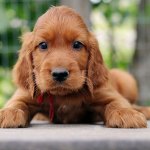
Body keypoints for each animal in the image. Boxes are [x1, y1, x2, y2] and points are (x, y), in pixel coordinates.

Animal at [0, 5, 149, 127]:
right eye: (43, 45)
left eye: (77, 44)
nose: (59, 74)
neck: (63, 95)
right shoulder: (24, 93)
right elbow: (16, 102)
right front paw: (8, 112)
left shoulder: (106, 92)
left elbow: (117, 102)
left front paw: (126, 113)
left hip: (127, 79)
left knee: (133, 103)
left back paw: (144, 110)